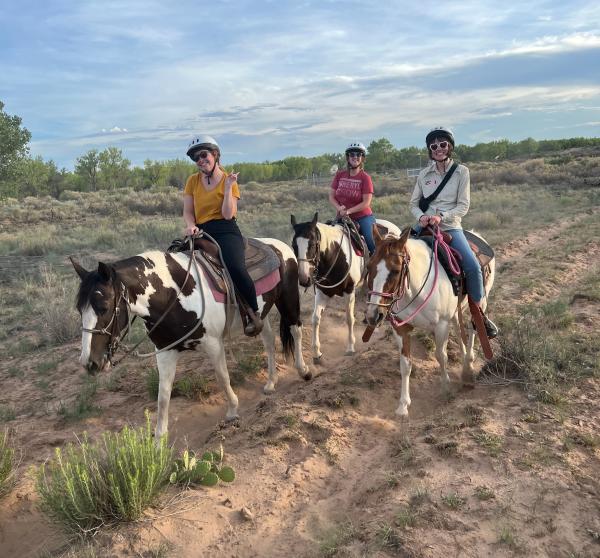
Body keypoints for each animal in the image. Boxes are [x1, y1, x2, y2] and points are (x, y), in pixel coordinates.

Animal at [72, 238, 312, 440]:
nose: (89, 363)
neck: (173, 294)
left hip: (288, 299)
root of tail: (278, 245)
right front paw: (159, 440)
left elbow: (222, 377)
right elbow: (163, 396)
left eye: (103, 307)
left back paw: (304, 370)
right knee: (269, 341)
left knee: (296, 330)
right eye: (79, 309)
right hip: (262, 314)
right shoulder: (165, 352)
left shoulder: (213, 344)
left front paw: (232, 411)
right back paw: (271, 382)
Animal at [290, 212, 398, 366]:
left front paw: (350, 347)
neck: (336, 254)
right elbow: (315, 318)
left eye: (312, 244)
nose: (304, 279)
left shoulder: (349, 291)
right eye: (294, 245)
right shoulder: (322, 293)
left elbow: (349, 318)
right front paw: (317, 354)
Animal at [364, 228, 494, 420]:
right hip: (455, 311)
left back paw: (468, 368)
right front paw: (403, 405)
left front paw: (446, 388)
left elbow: (441, 356)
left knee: (473, 329)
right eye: (368, 267)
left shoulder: (441, 326)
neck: (416, 288)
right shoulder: (400, 328)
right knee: (459, 329)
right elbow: (405, 365)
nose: (373, 315)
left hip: (479, 302)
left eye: (395, 270)